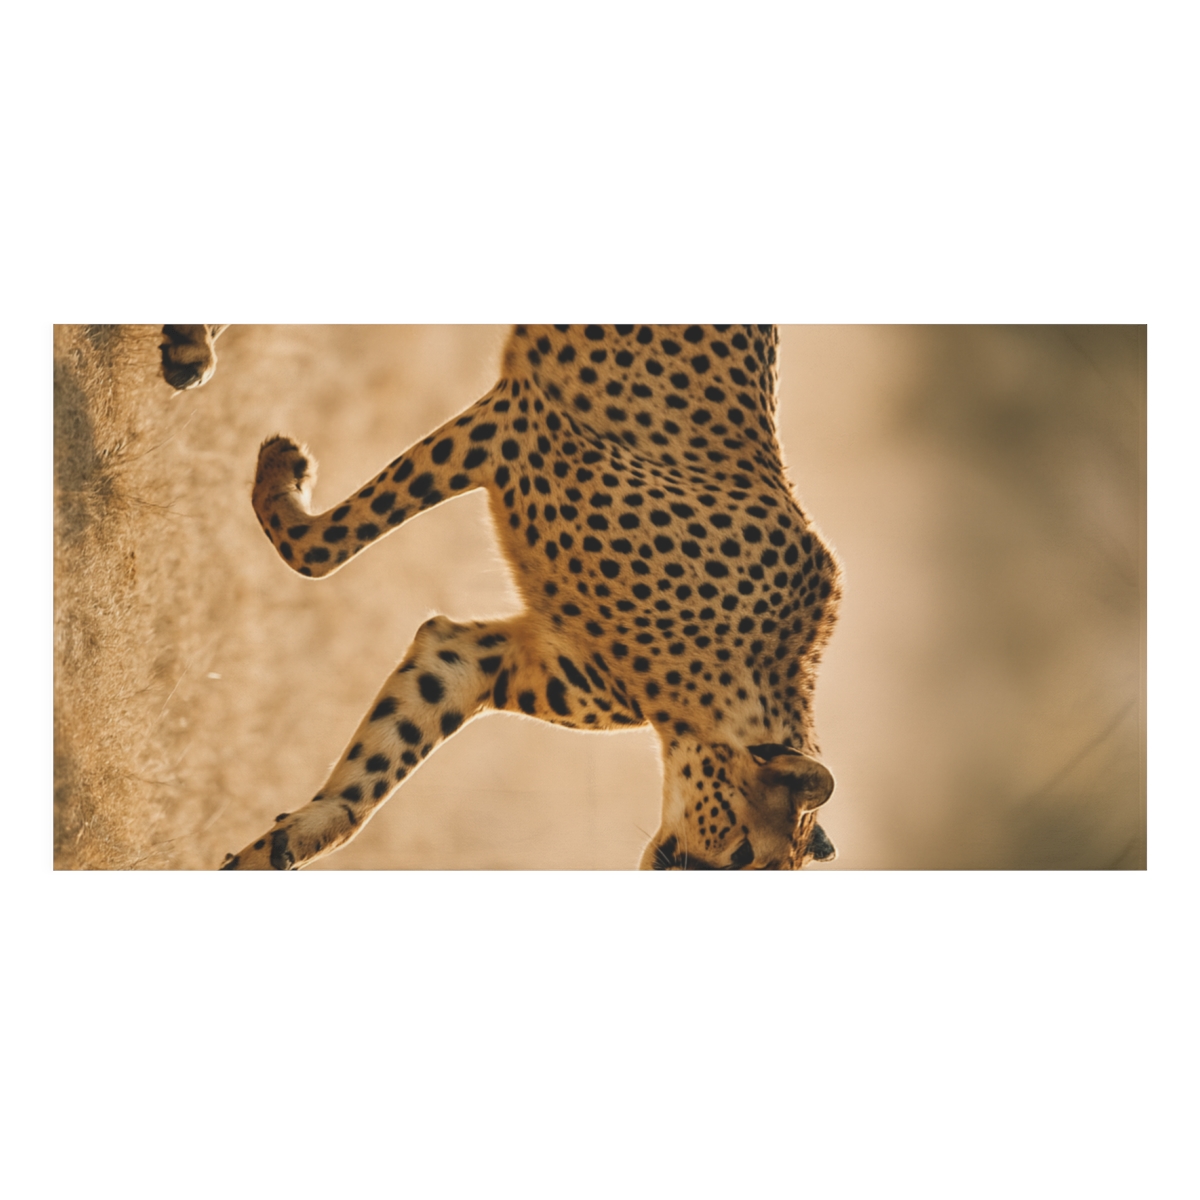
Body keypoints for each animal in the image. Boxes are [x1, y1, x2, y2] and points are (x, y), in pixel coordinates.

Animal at [218, 325, 843, 870]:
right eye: (742, 852)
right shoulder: (521, 423)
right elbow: (321, 550)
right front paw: (281, 471)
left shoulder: (478, 657)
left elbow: (373, 774)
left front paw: (279, 849)